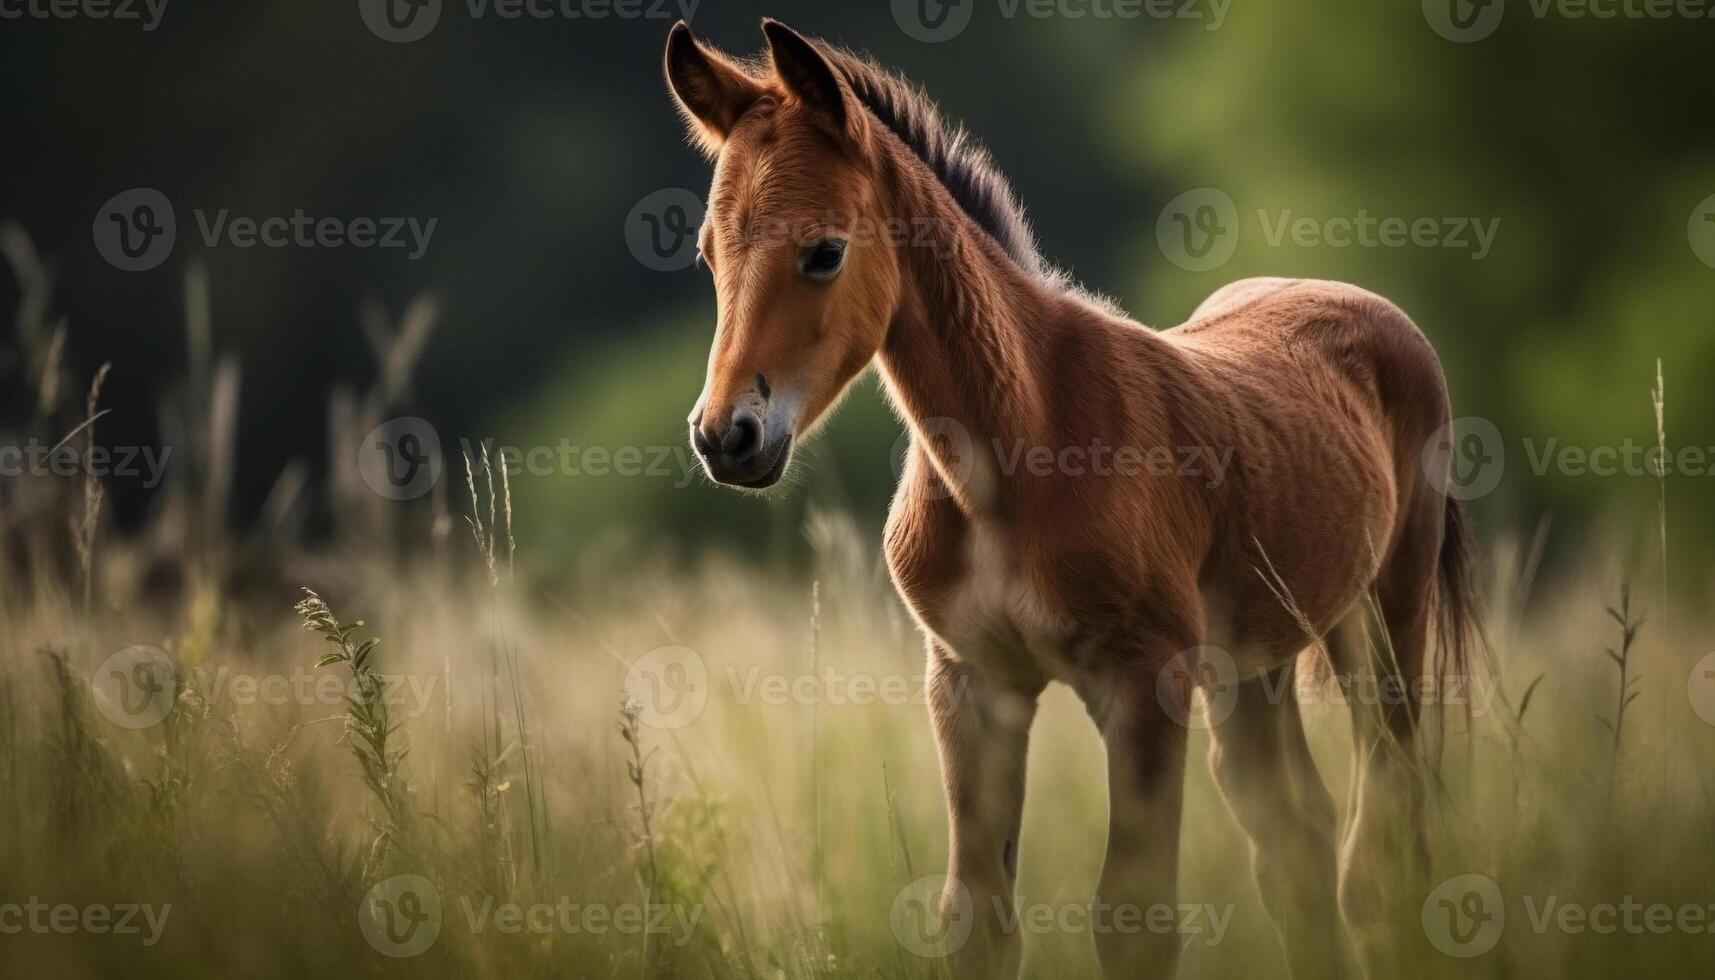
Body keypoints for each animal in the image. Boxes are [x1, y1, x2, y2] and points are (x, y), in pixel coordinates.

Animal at [661, 17, 1481, 980]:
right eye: (708, 252)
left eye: (824, 251)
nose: (726, 438)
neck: (1011, 453)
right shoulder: (972, 686)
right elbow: (977, 920)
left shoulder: (1143, 685)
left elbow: (1134, 920)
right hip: (1255, 664)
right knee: (1298, 841)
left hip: (1383, 621)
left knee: (1385, 835)